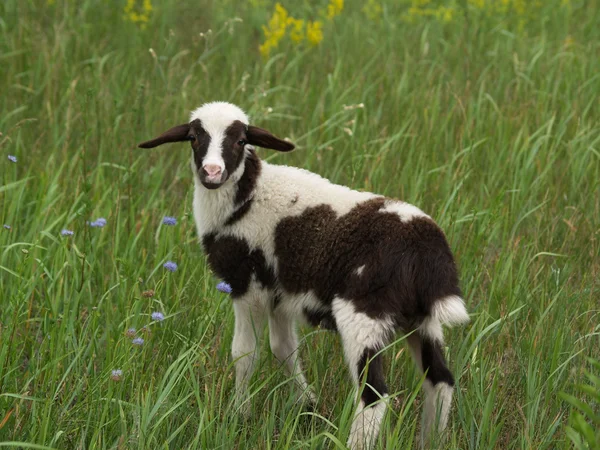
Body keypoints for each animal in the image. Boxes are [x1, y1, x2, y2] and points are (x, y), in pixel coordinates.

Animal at [139, 102, 468, 450]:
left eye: (241, 140)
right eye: (193, 138)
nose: (212, 172)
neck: (247, 197)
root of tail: (428, 250)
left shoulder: (248, 284)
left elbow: (245, 353)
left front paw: (238, 415)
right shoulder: (281, 293)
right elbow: (283, 348)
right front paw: (306, 403)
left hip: (363, 312)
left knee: (375, 394)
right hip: (422, 317)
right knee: (441, 380)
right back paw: (432, 439)